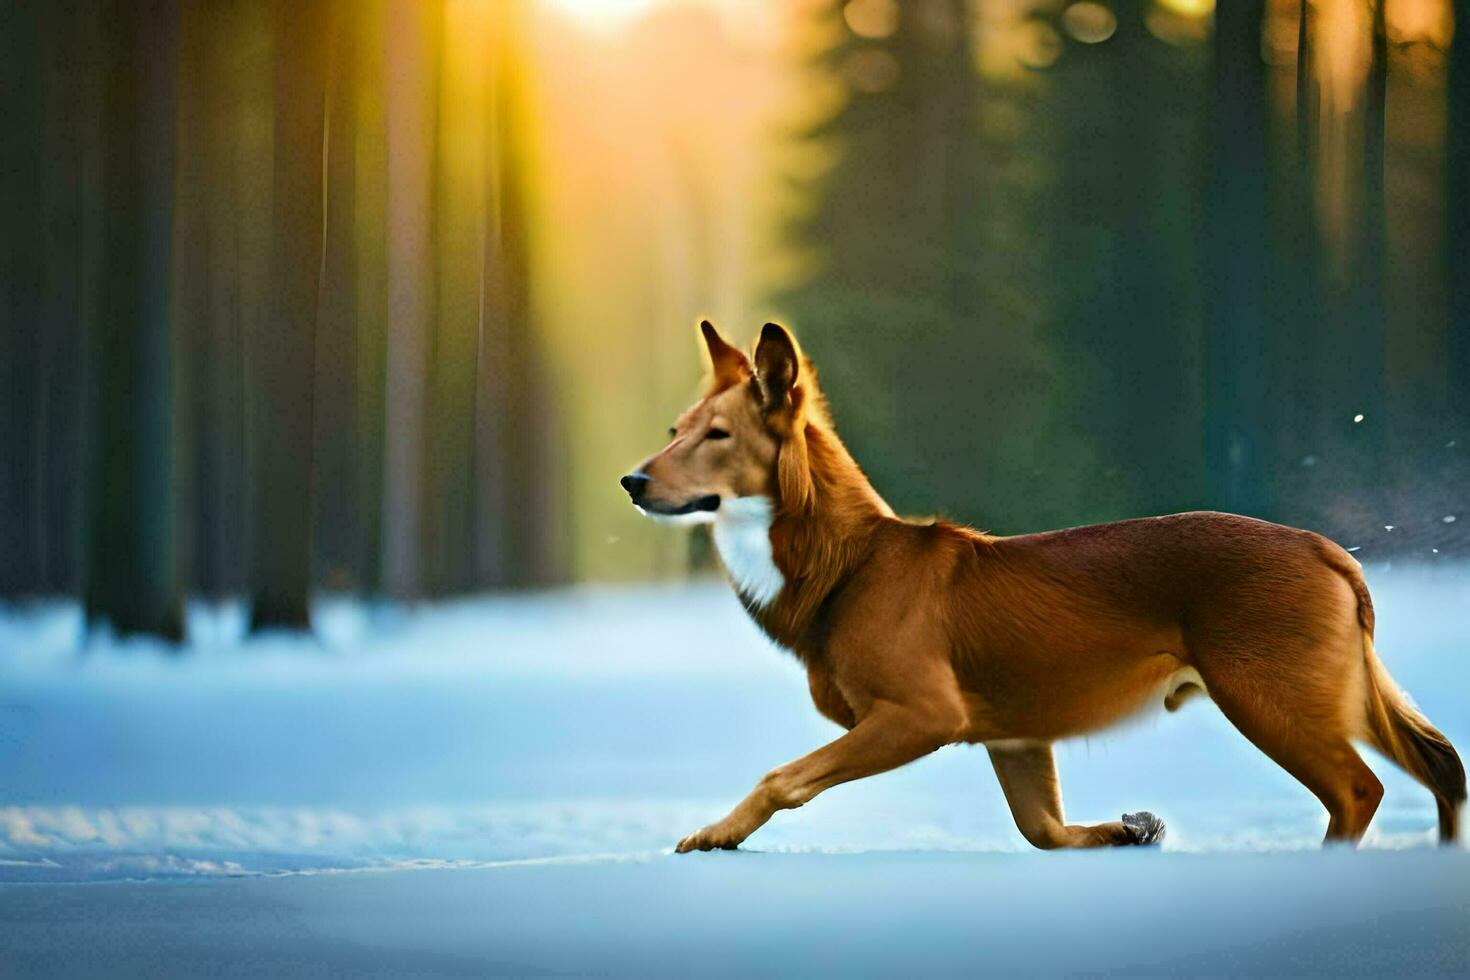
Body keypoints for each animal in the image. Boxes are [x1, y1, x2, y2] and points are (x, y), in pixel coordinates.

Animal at [617, 321, 1458, 852]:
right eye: (673, 432)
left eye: (717, 436)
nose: (632, 481)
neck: (845, 568)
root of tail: (1332, 552)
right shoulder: (1015, 736)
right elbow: (1046, 833)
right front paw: (1130, 831)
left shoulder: (925, 712)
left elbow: (784, 778)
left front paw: (716, 833)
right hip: (1328, 691)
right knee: (1443, 769)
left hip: (1270, 694)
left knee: (1361, 791)